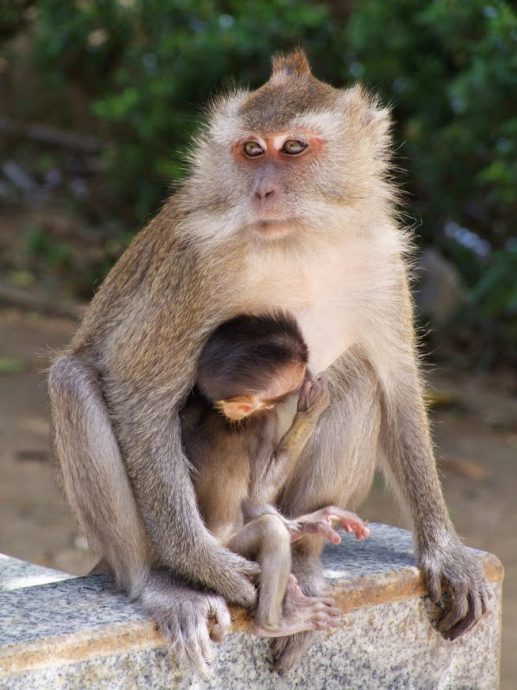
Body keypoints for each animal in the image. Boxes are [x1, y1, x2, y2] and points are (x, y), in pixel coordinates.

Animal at [181, 311, 369, 638]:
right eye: (289, 388)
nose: (310, 377)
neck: (216, 410)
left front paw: (312, 523)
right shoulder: (263, 421)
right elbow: (257, 497)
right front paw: (310, 409)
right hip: (233, 556)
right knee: (269, 530)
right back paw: (273, 623)